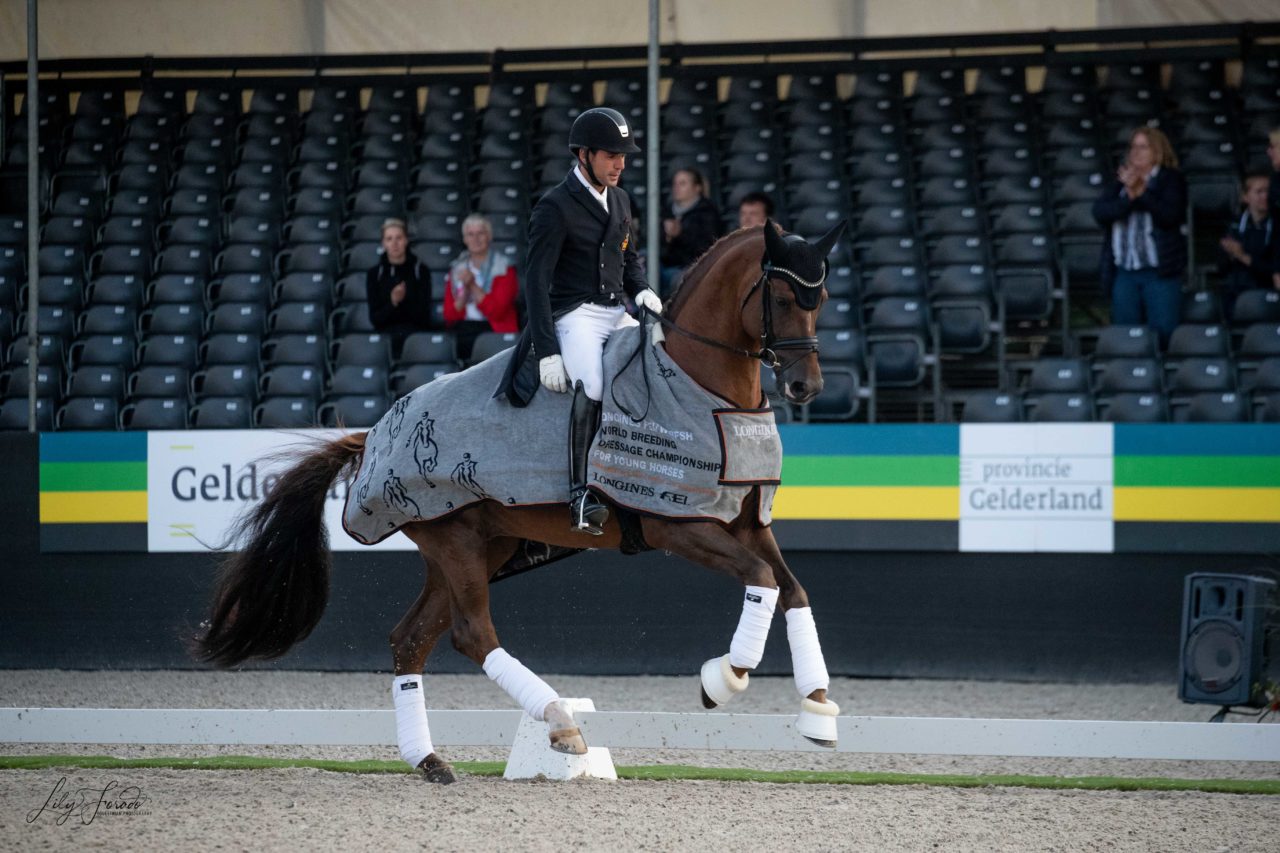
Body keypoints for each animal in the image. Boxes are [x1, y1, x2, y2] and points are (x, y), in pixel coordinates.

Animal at [194, 220, 844, 783]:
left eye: (821, 297)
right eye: (781, 296)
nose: (805, 386)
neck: (702, 388)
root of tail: (377, 432)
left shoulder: (748, 522)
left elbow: (793, 590)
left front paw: (817, 711)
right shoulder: (676, 523)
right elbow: (762, 580)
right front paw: (723, 680)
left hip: (483, 546)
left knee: (412, 639)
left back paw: (430, 761)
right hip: (456, 541)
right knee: (472, 634)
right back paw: (560, 723)